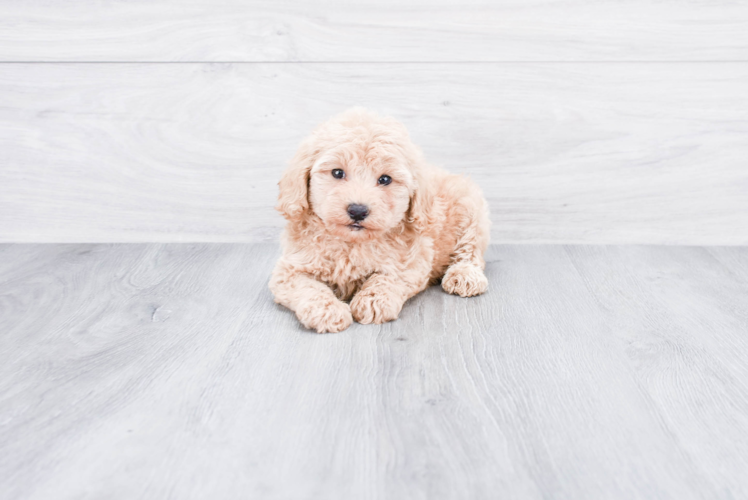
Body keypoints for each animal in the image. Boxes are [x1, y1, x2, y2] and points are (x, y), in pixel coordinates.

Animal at [268, 108, 490, 334]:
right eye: (337, 172)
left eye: (385, 179)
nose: (357, 211)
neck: (352, 243)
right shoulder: (290, 268)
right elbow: (308, 287)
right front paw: (327, 310)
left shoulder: (412, 261)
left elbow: (388, 277)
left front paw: (372, 300)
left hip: (471, 211)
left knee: (470, 251)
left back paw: (465, 275)